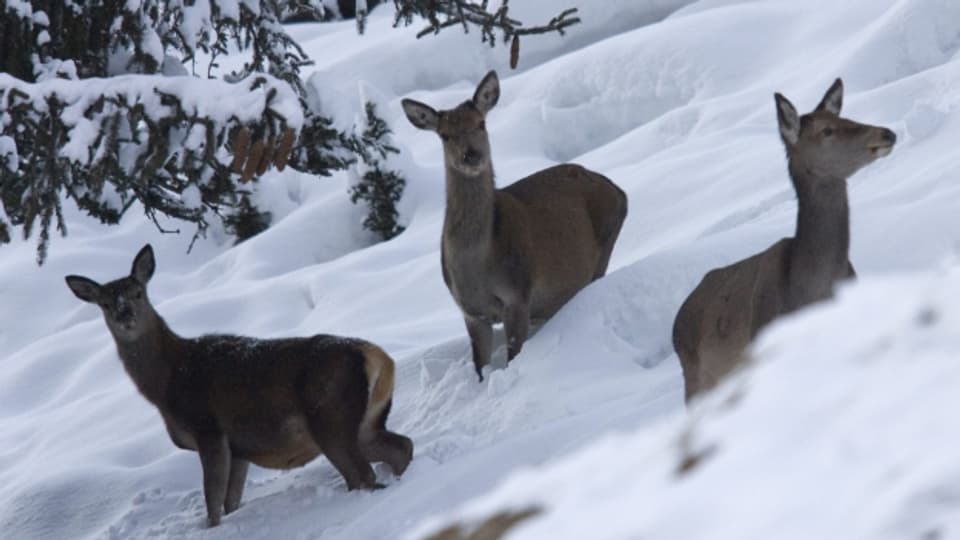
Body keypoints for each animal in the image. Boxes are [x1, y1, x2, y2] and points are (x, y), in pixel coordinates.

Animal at [64, 246, 412, 528]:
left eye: (138, 292)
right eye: (105, 303)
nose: (125, 315)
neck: (165, 386)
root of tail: (378, 358)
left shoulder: (208, 430)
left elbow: (213, 502)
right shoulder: (241, 447)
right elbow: (231, 501)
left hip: (330, 417)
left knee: (364, 475)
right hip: (364, 421)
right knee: (401, 447)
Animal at [402, 71, 628, 382]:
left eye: (481, 123)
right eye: (445, 135)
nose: (471, 155)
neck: (478, 269)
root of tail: (619, 191)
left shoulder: (518, 294)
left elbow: (513, 357)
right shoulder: (471, 312)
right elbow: (480, 368)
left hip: (604, 246)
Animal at [672, 79, 896, 400]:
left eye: (845, 117)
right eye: (826, 131)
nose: (886, 133)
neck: (812, 291)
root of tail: (676, 322)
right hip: (697, 379)